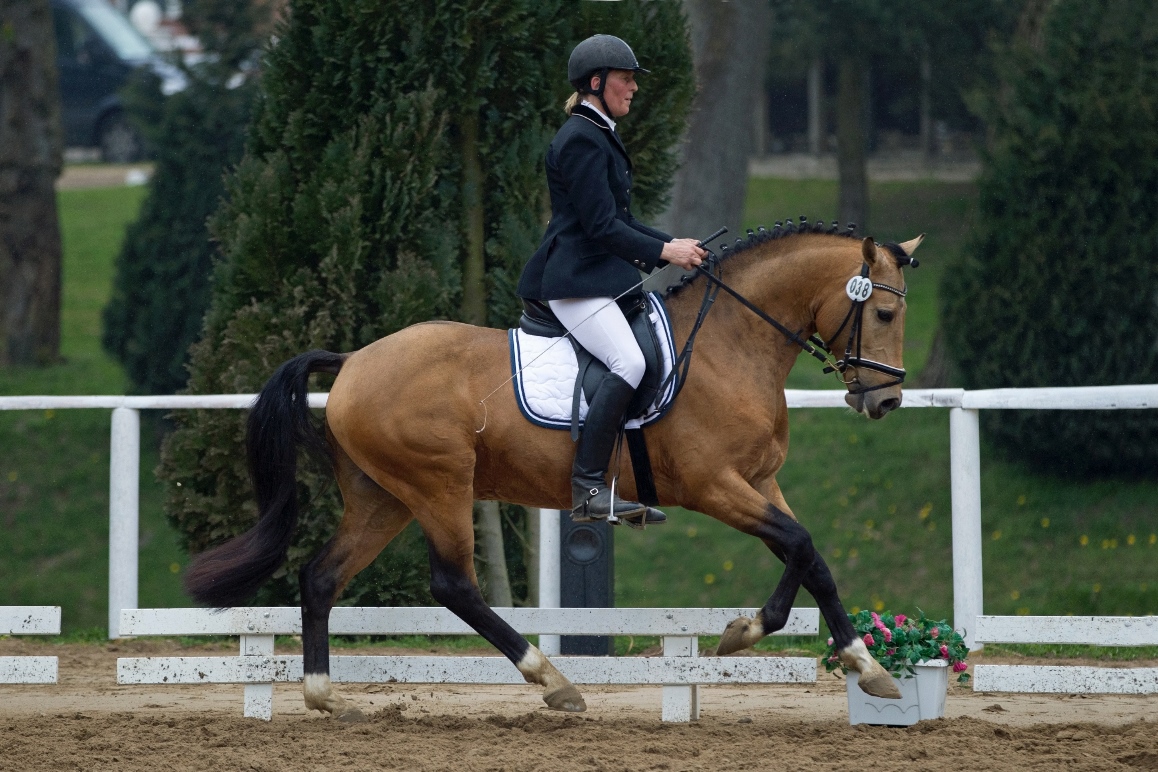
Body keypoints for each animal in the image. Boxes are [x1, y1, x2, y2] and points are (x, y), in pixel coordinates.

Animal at [182, 222, 921, 717]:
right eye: (884, 312)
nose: (885, 401)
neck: (729, 344)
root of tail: (355, 359)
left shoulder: (760, 482)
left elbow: (811, 557)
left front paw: (859, 663)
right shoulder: (716, 487)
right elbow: (800, 544)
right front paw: (753, 633)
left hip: (382, 498)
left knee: (321, 577)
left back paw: (323, 696)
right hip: (439, 485)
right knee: (454, 586)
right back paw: (554, 680)